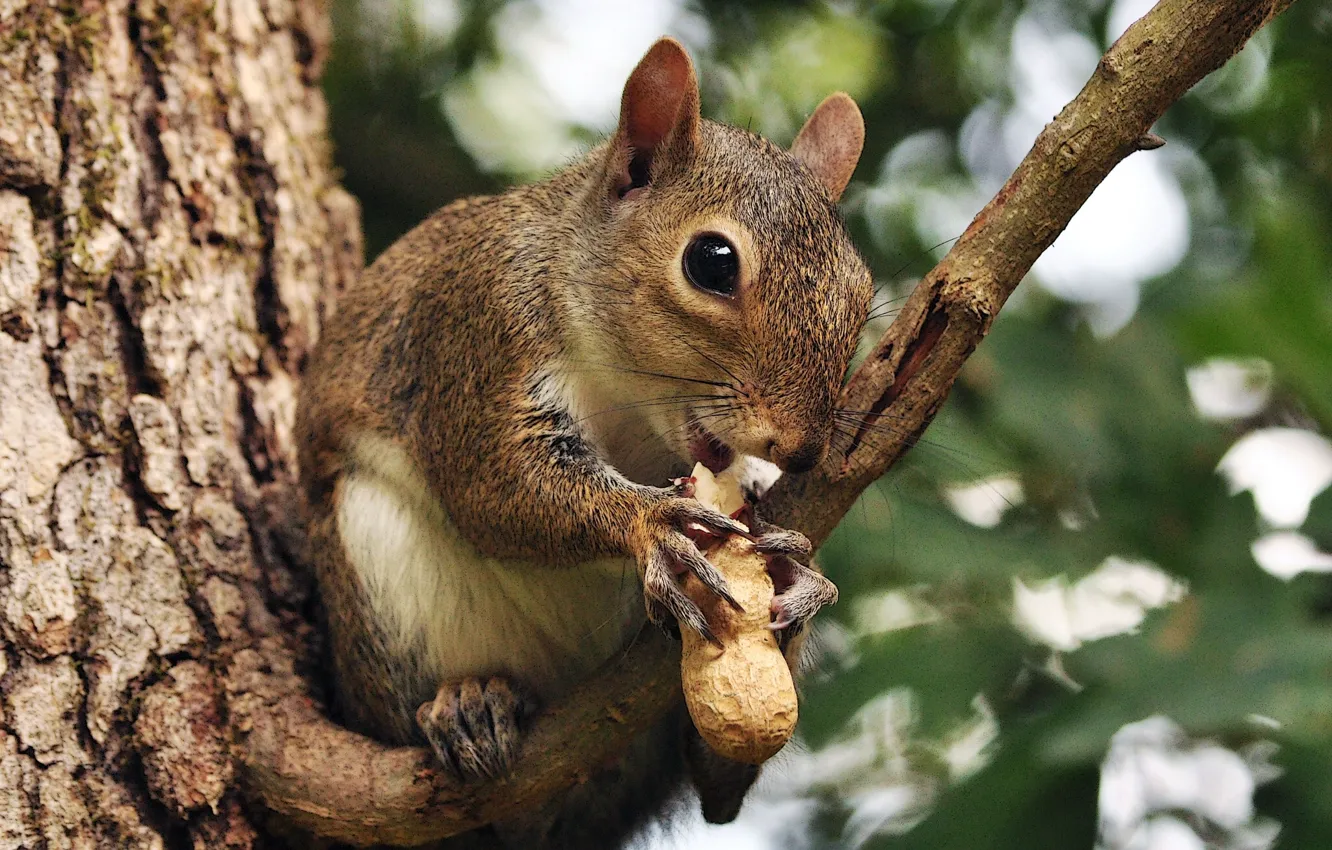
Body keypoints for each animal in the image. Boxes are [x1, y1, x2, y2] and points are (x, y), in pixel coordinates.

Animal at [294, 38, 873, 850]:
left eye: (862, 289)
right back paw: (466, 705)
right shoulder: (477, 333)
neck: (629, 402)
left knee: (718, 782)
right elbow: (496, 485)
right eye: (712, 261)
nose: (801, 450)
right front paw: (652, 524)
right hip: (377, 583)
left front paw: (790, 560)